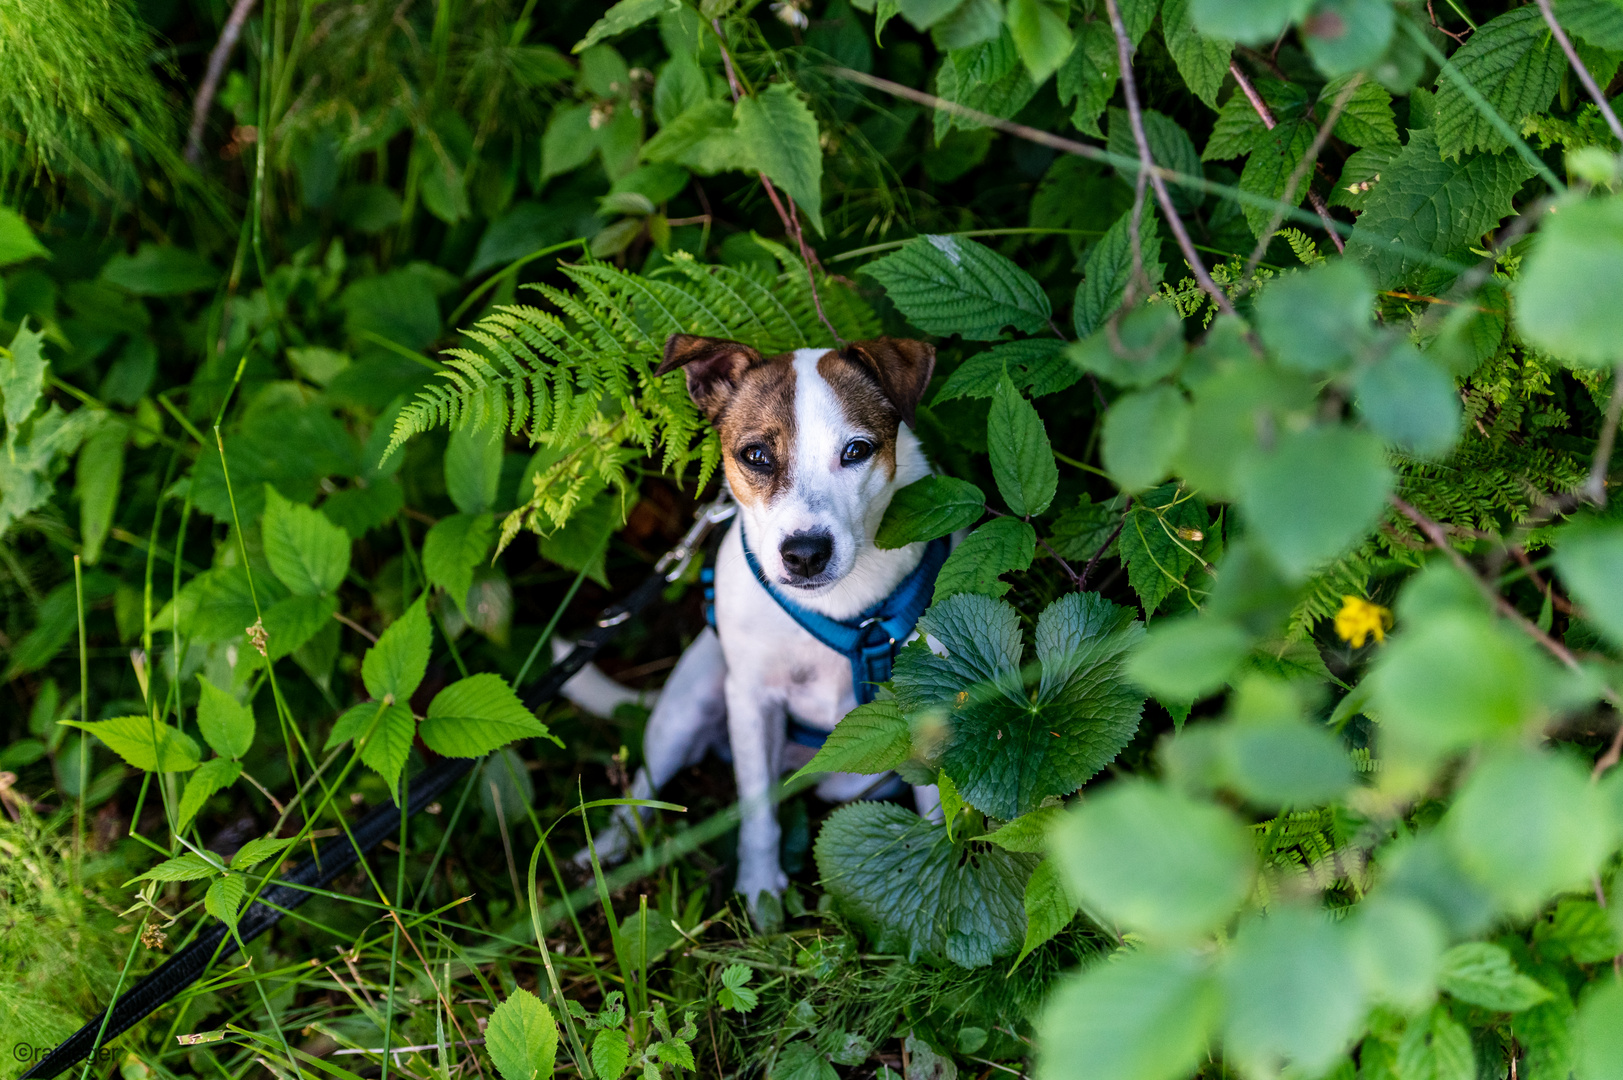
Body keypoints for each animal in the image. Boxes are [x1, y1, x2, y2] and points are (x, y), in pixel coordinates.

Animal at [571, 332, 947, 902]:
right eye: (756, 455)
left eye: (857, 451)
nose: (805, 554)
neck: (840, 608)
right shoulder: (751, 701)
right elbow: (757, 813)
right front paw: (760, 890)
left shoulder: (927, 704)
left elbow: (938, 809)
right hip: (690, 705)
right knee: (641, 792)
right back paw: (605, 853)